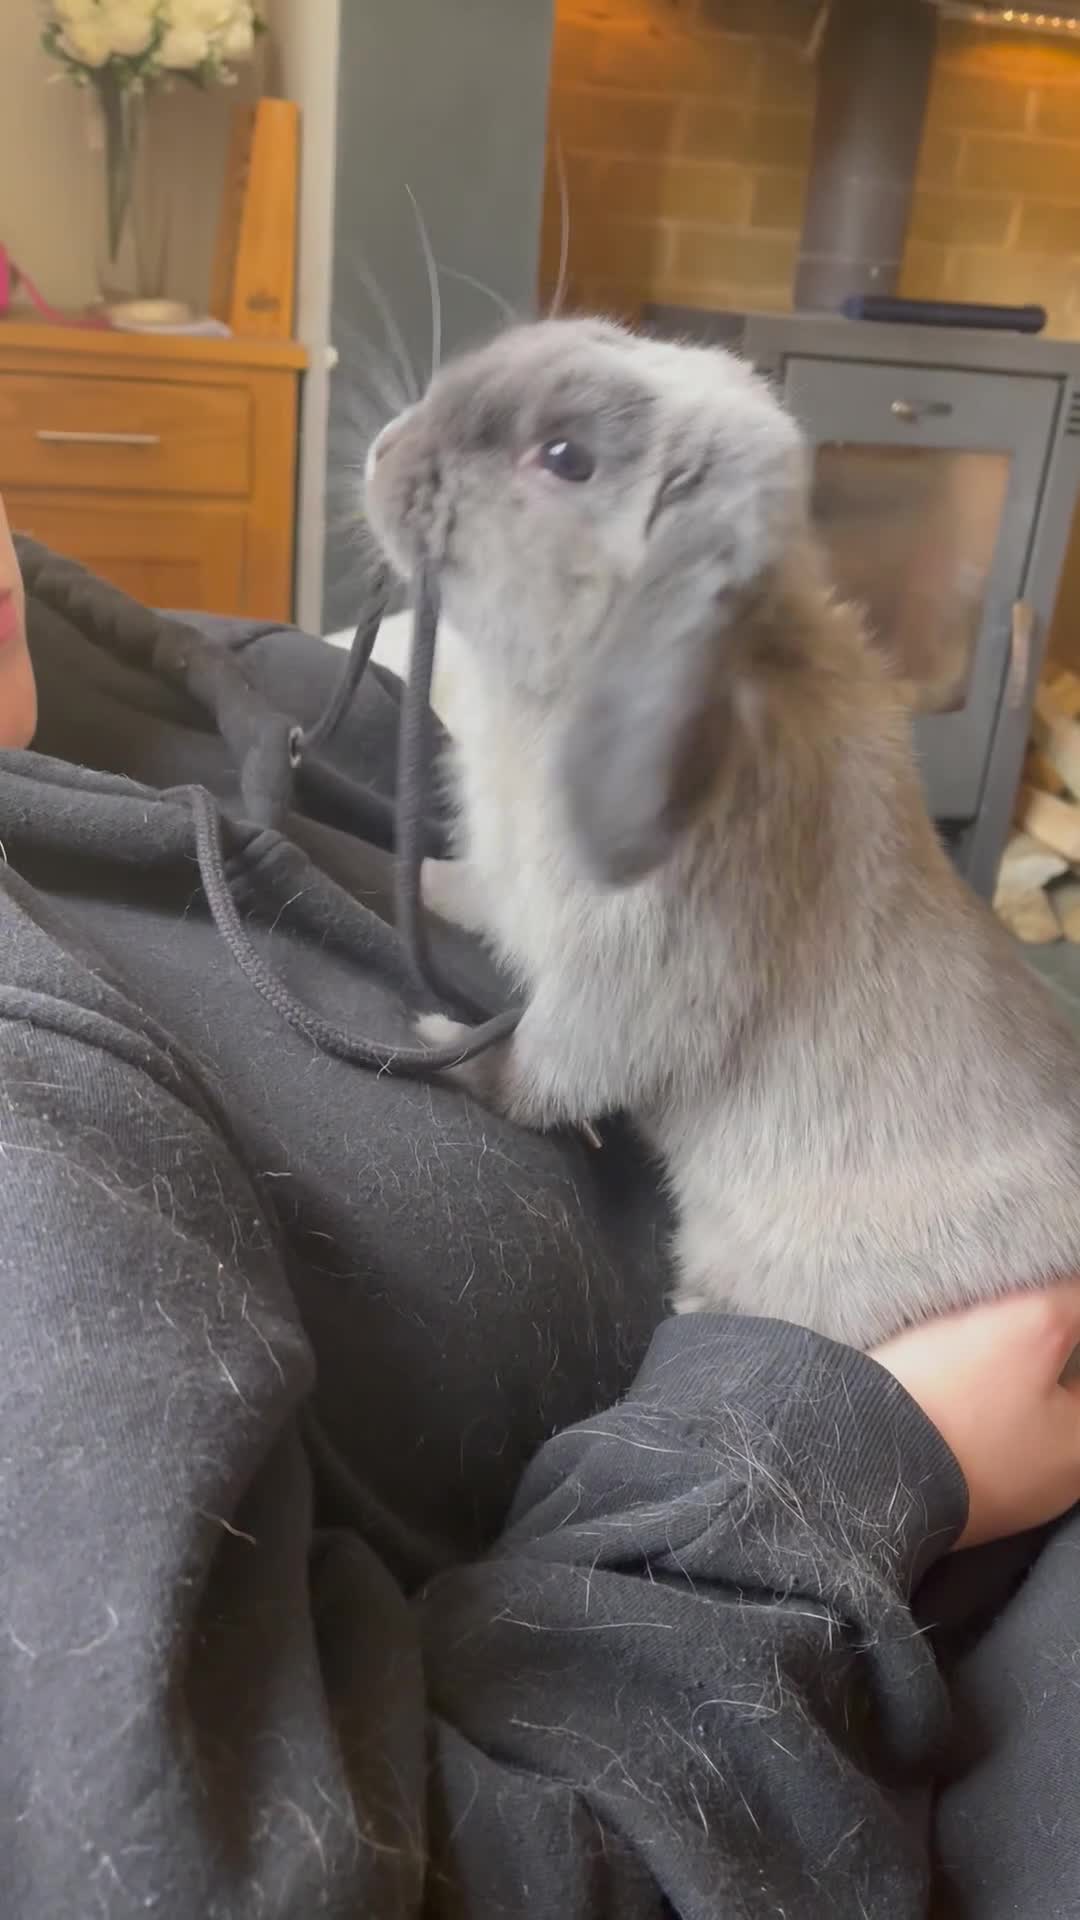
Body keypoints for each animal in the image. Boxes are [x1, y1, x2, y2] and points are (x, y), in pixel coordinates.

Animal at [363, 315, 1080, 1352]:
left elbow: (541, 1070)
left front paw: (443, 1041)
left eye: (567, 457)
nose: (383, 452)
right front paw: (402, 877)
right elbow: (469, 894)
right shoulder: (513, 892)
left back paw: (700, 1306)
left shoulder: (632, 979)